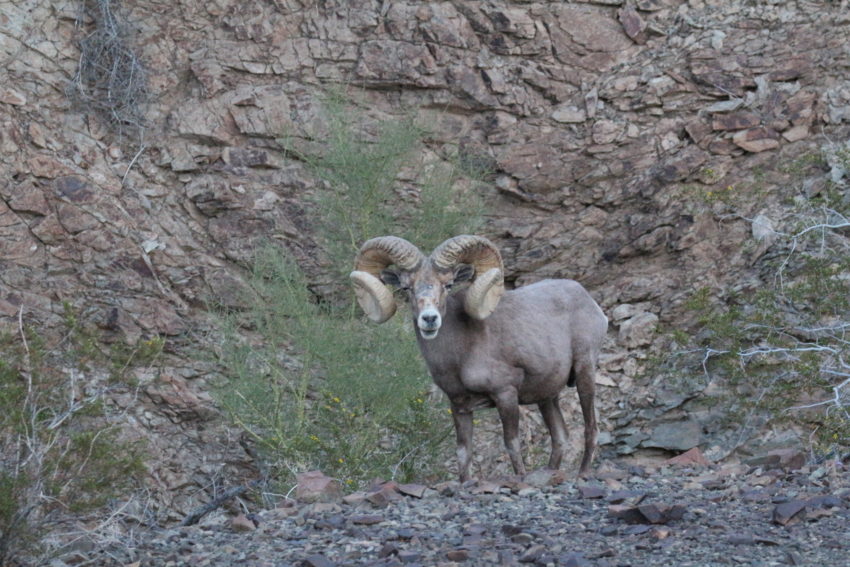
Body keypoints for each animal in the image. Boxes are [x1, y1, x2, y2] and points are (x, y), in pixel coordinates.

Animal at [350, 235, 608, 481]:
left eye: (448, 285)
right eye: (406, 288)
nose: (429, 319)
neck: (459, 355)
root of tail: (589, 301)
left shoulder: (506, 395)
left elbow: (512, 444)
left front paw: (520, 477)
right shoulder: (460, 406)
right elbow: (464, 453)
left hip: (584, 372)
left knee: (591, 428)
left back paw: (583, 473)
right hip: (547, 396)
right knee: (560, 437)